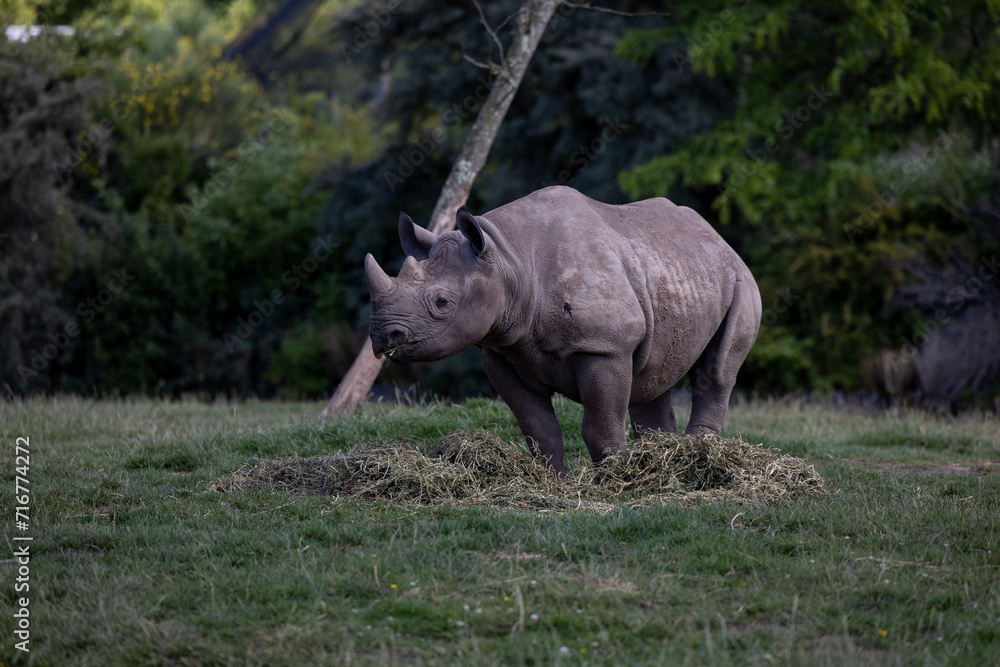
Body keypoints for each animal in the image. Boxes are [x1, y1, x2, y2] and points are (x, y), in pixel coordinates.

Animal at [365, 186, 761, 472]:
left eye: (443, 303)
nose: (383, 337)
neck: (509, 259)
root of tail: (717, 237)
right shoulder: (501, 351)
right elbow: (538, 429)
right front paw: (552, 481)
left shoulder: (604, 346)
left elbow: (600, 426)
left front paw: (614, 480)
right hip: (674, 269)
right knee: (653, 372)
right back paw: (663, 458)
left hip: (740, 280)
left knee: (717, 370)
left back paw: (700, 454)